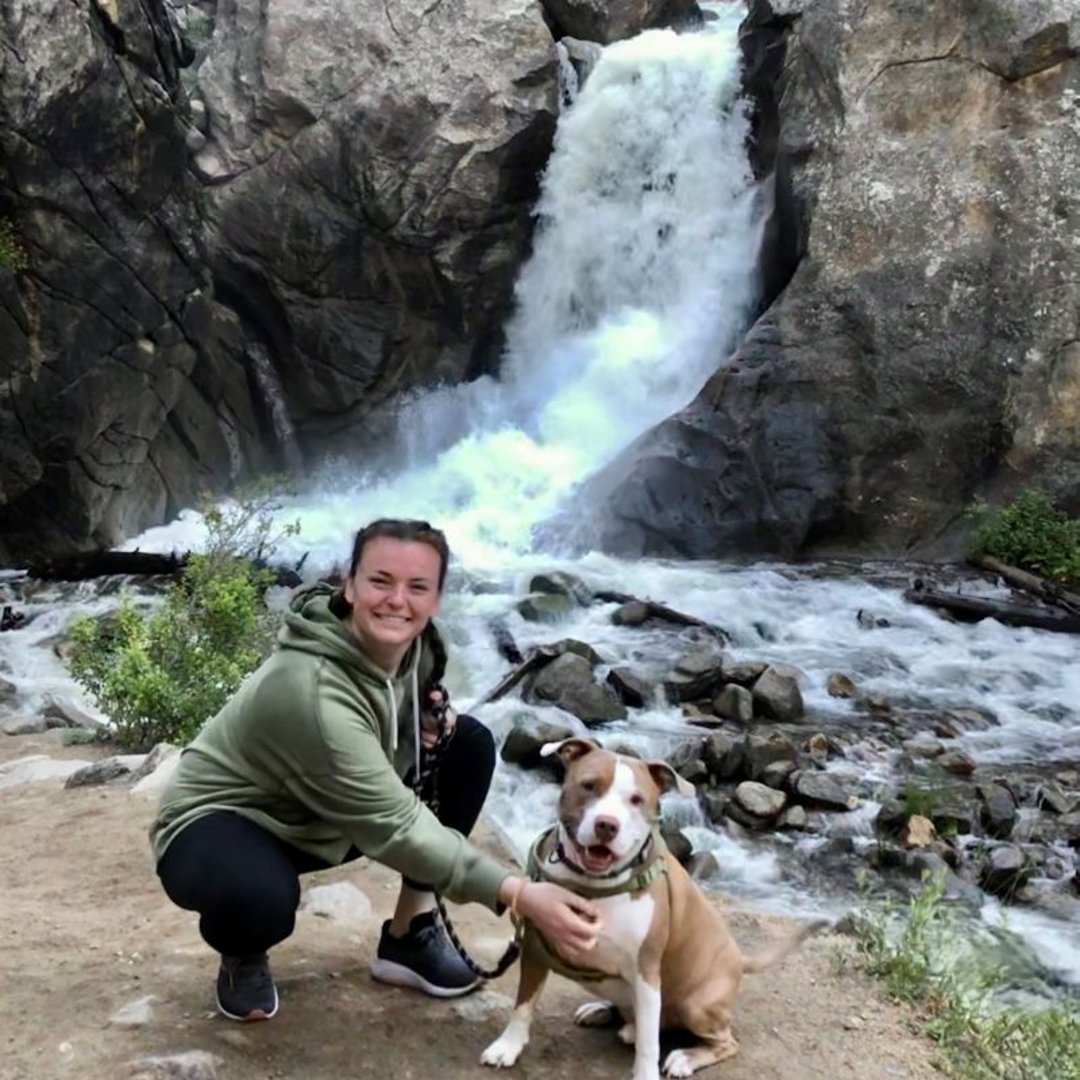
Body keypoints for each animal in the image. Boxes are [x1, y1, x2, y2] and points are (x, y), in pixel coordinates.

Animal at [481, 738, 825, 1080]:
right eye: (589, 785)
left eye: (636, 800)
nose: (607, 825)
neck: (594, 885)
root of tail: (740, 959)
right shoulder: (535, 947)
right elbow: (524, 1004)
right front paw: (508, 1046)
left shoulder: (646, 971)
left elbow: (649, 1044)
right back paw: (604, 1012)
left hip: (696, 1006)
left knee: (721, 1041)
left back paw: (685, 1057)